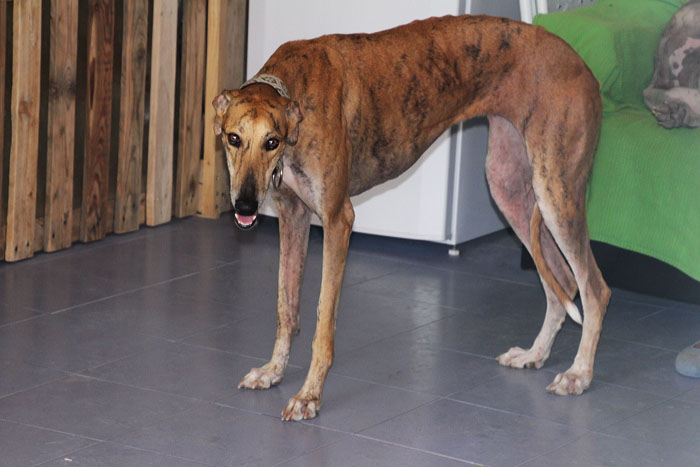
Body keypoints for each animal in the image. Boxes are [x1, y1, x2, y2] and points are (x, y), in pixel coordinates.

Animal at [213, 15, 610, 421]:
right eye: (232, 138)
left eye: (271, 141)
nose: (245, 207)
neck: (295, 89)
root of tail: (581, 64)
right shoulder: (292, 215)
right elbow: (286, 309)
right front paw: (273, 372)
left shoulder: (338, 220)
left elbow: (323, 324)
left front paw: (309, 396)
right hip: (509, 186)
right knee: (562, 280)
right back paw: (535, 354)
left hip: (556, 190)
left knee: (594, 288)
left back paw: (579, 374)